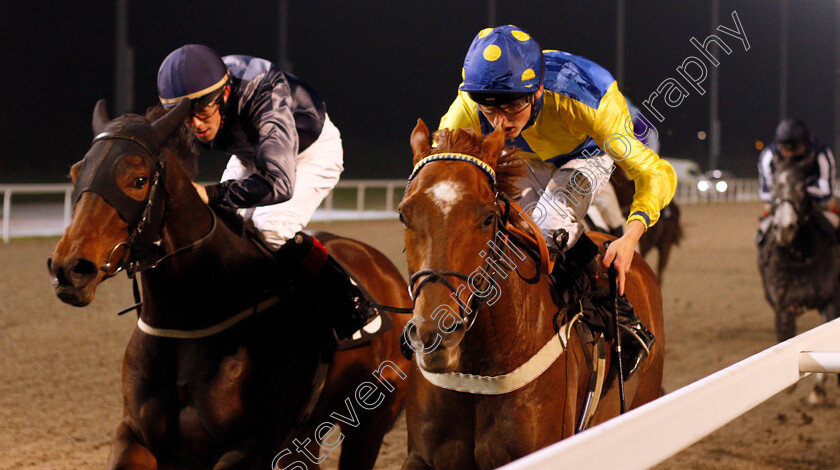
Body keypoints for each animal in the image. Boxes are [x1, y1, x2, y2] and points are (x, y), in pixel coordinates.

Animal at [47, 100, 412, 470]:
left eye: (138, 180)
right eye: (75, 174)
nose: (70, 267)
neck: (191, 320)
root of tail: (383, 269)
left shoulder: (252, 446)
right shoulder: (138, 435)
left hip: (371, 419)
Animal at [756, 155, 840, 404]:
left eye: (802, 186)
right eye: (774, 186)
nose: (785, 227)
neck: (800, 258)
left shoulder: (830, 302)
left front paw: (819, 389)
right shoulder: (784, 308)